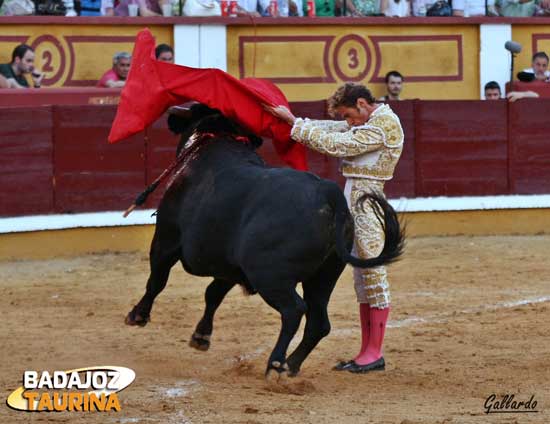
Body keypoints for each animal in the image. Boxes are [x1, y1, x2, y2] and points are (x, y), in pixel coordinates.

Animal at [127, 105, 408, 378]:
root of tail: (329, 194)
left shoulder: (166, 240)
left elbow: (157, 281)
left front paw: (137, 315)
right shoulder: (231, 267)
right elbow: (212, 294)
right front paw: (201, 336)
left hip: (269, 275)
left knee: (294, 310)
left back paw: (274, 365)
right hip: (324, 275)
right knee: (319, 321)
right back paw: (290, 366)